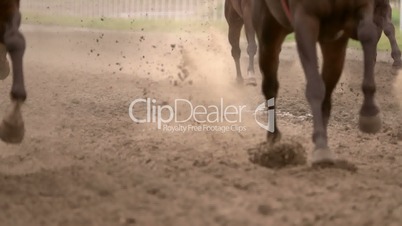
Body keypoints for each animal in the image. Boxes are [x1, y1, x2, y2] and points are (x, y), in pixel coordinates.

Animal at [254, 0, 384, 166]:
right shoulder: (305, 19)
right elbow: (315, 87)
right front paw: (321, 147)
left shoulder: (360, 10)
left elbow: (368, 33)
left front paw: (370, 112)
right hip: (268, 32)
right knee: (270, 85)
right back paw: (274, 138)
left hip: (333, 45)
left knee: (327, 92)